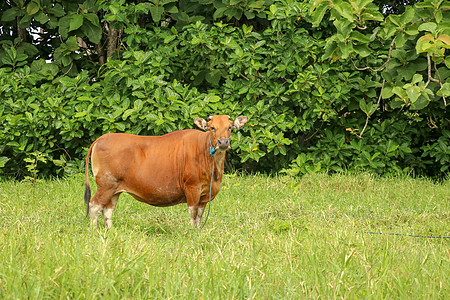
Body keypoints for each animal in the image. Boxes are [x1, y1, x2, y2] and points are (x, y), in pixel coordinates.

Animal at [82, 114, 248, 227]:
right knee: (94, 205)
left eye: (230, 127)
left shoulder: (206, 194)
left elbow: (200, 215)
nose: (223, 142)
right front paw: (193, 231)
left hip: (115, 188)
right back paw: (93, 229)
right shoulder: (192, 188)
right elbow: (193, 214)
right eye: (212, 128)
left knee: (107, 209)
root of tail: (102, 138)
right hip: (105, 184)